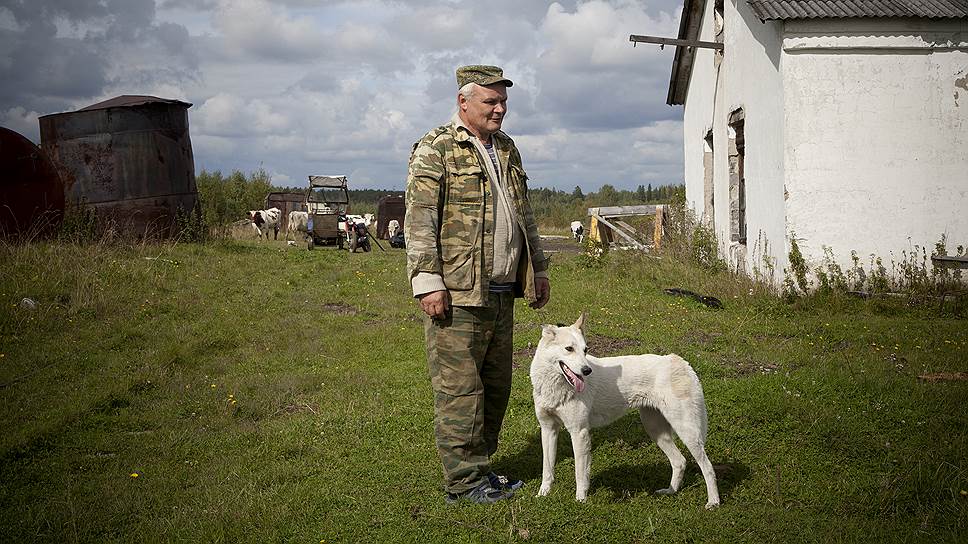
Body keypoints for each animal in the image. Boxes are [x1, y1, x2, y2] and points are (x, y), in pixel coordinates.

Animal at [528, 312, 720, 508]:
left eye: (585, 350)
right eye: (569, 349)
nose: (587, 370)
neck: (555, 385)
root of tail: (679, 361)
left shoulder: (579, 432)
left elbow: (580, 474)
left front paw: (580, 501)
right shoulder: (548, 429)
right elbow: (547, 469)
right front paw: (542, 494)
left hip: (687, 432)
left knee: (708, 467)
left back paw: (713, 502)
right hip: (656, 430)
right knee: (679, 461)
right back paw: (670, 491)